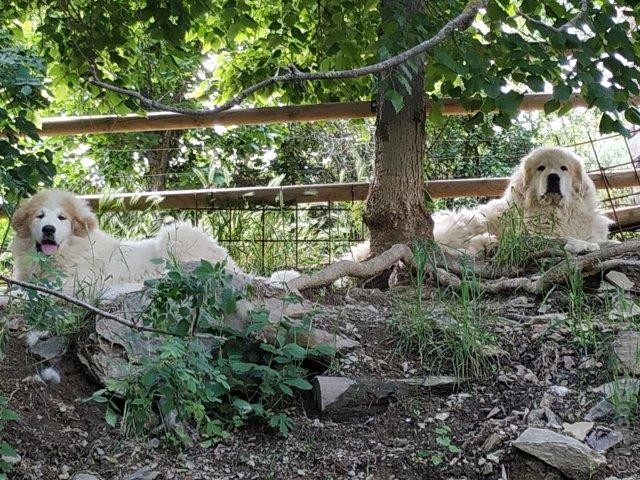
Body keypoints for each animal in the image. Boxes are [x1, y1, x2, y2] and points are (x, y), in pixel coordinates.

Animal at [348, 147, 612, 262]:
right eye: (541, 168)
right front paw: (582, 246)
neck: (555, 210)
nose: (553, 178)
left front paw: (592, 243)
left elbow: (600, 239)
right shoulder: (528, 235)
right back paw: (486, 243)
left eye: (563, 168)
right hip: (467, 220)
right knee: (448, 249)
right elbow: (560, 238)